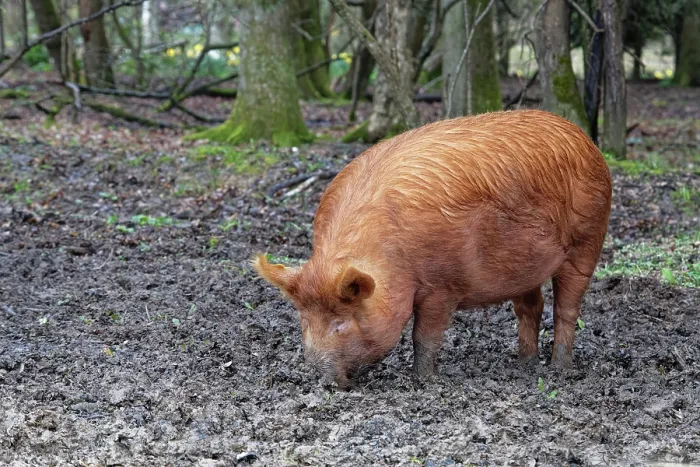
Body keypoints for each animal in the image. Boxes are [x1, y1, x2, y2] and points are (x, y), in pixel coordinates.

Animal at [253, 109, 612, 389]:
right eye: (304, 320)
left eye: (340, 323)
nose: (321, 380)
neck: (391, 258)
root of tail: (585, 140)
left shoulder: (442, 286)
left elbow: (423, 335)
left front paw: (423, 380)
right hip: (525, 266)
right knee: (530, 308)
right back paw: (523, 363)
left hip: (587, 242)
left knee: (566, 308)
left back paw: (559, 369)